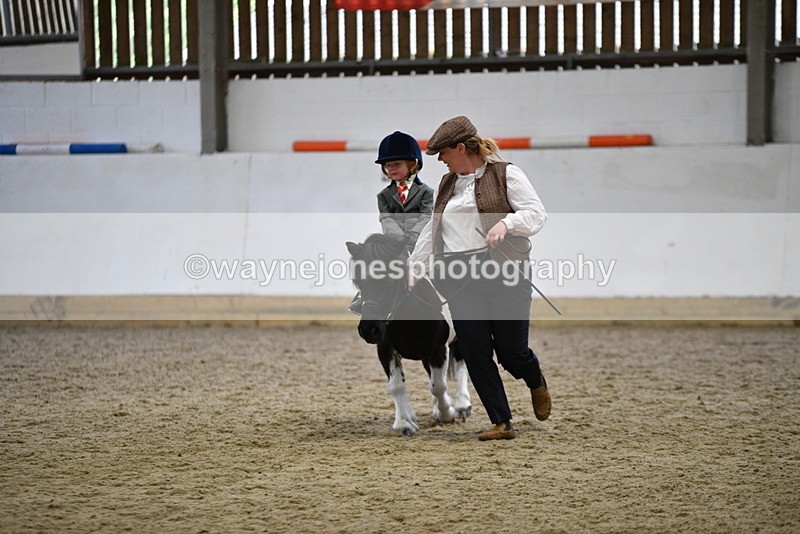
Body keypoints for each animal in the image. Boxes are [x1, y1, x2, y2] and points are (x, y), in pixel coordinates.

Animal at [346, 233, 472, 436]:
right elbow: (396, 386)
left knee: (461, 364)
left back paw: (462, 405)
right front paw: (404, 423)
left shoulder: (439, 349)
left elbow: (439, 386)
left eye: (391, 279)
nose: (368, 330)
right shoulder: (385, 349)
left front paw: (447, 414)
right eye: (359, 281)